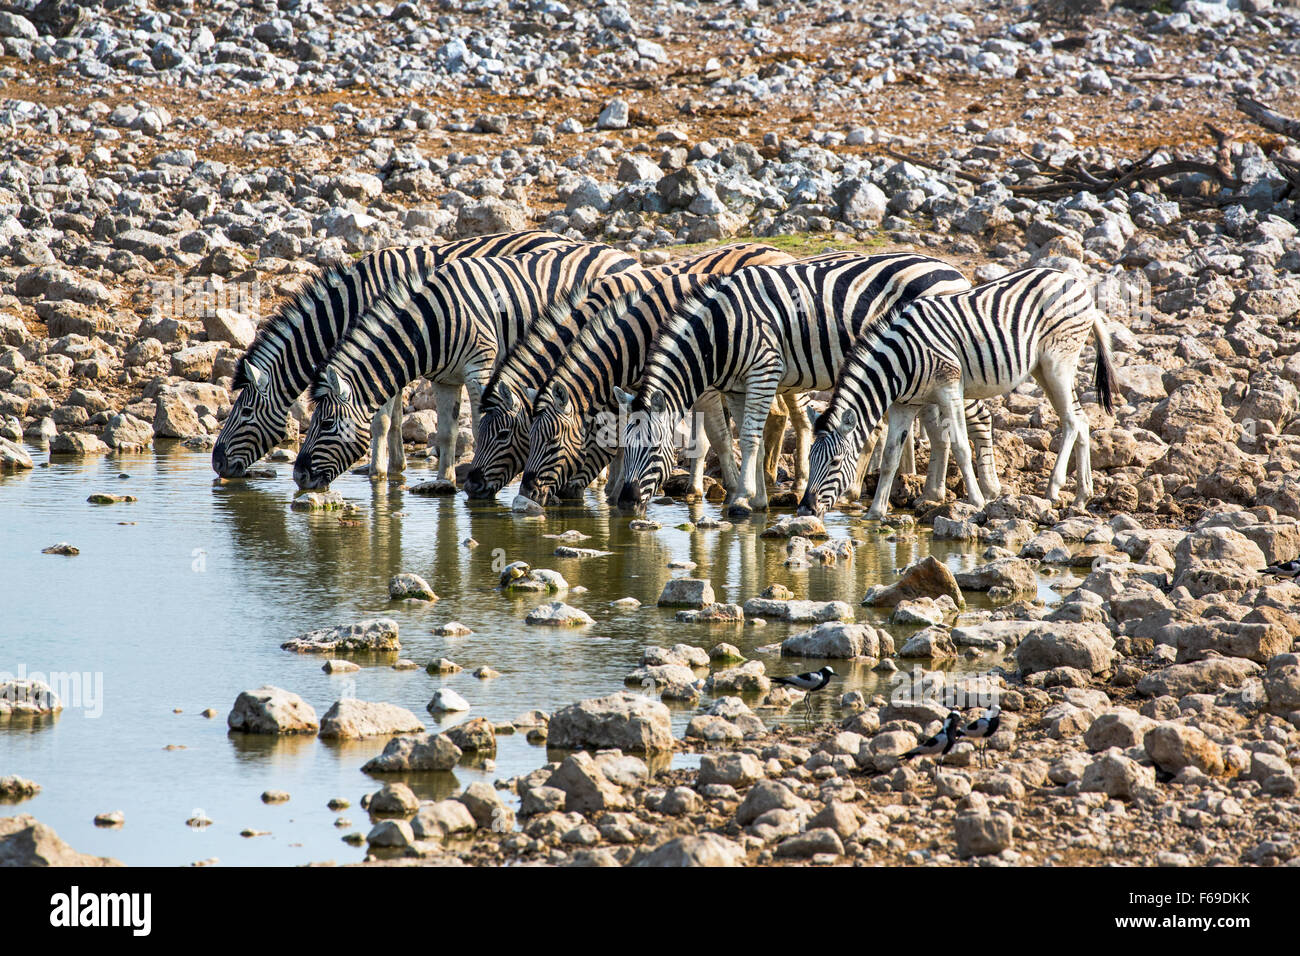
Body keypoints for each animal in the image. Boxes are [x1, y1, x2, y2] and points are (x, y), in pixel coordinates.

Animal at [211, 228, 574, 481]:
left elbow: (382, 419)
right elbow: (395, 417)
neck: (354, 301)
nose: (216, 463)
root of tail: (559, 236)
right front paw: (397, 466)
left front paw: (379, 471)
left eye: (244, 413)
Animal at [295, 244, 639, 494]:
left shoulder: (480, 367)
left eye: (326, 424)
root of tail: (622, 255)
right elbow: (446, 433)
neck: (429, 325)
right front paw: (444, 481)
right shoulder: (445, 379)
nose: (298, 476)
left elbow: (475, 426)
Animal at [462, 240, 795, 502]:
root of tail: (779, 252)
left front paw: (724, 487)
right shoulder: (631, 388)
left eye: (504, 435)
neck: (634, 333)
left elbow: (717, 437)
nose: (470, 487)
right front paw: (614, 490)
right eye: (528, 435)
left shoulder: (703, 384)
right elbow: (624, 436)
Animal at [613, 252, 987, 515]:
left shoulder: (764, 369)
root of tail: (949, 269)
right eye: (624, 448)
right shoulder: (737, 387)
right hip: (920, 378)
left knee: (977, 418)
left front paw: (741, 499)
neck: (722, 330)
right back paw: (932, 497)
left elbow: (748, 437)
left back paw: (988, 492)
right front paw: (758, 500)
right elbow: (750, 438)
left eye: (653, 448)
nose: (625, 502)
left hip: (950, 366)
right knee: (940, 432)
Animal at [795, 265, 1112, 520]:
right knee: (1081, 420)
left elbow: (960, 445)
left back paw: (1053, 488)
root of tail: (1076, 282)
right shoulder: (903, 404)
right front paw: (875, 511)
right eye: (810, 458)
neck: (900, 360)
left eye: (835, 462)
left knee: (1071, 421)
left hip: (1058, 362)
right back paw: (1082, 496)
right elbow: (890, 456)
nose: (804, 510)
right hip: (1042, 369)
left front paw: (977, 501)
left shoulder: (949, 388)